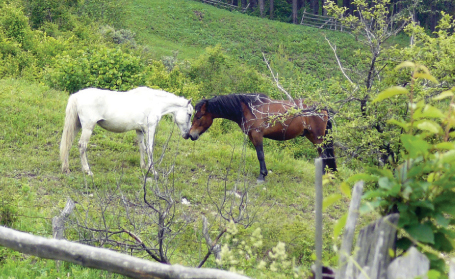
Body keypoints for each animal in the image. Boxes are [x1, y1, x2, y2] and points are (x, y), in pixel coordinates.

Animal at [59, 86, 193, 176]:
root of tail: (77, 96)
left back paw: (66, 168)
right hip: (88, 127)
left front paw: (143, 167)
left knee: (68, 144)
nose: (188, 135)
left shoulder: (139, 130)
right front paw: (152, 171)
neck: (154, 103)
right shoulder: (150, 128)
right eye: (190, 114)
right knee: (82, 146)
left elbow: (142, 148)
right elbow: (149, 149)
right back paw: (87, 171)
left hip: (76, 126)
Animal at [187, 93, 336, 182]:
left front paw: (262, 176)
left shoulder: (257, 134)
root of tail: (322, 108)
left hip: (318, 137)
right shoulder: (252, 136)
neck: (249, 109)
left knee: (324, 155)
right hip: (313, 137)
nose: (190, 134)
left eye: (199, 116)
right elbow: (259, 154)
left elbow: (260, 154)